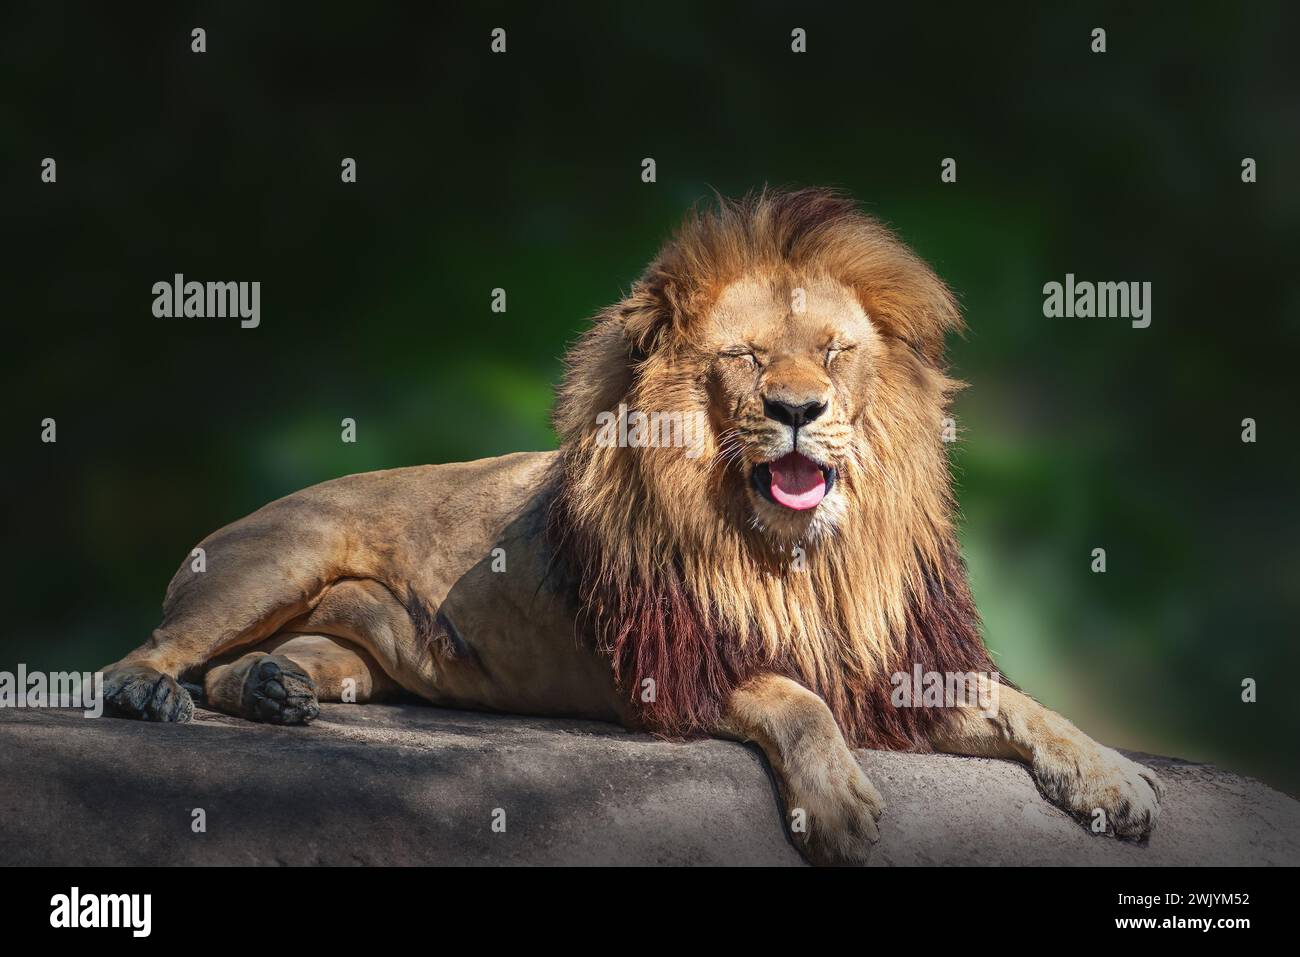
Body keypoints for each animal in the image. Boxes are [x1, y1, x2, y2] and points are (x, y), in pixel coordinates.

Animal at [98, 188, 1159, 868]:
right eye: (745, 356)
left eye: (833, 351)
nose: (799, 409)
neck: (792, 557)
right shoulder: (676, 667)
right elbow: (793, 697)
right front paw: (840, 807)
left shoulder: (893, 662)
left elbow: (1028, 708)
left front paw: (1119, 780)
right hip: (280, 557)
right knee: (147, 653)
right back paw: (149, 694)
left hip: (352, 648)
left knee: (254, 666)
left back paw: (273, 688)